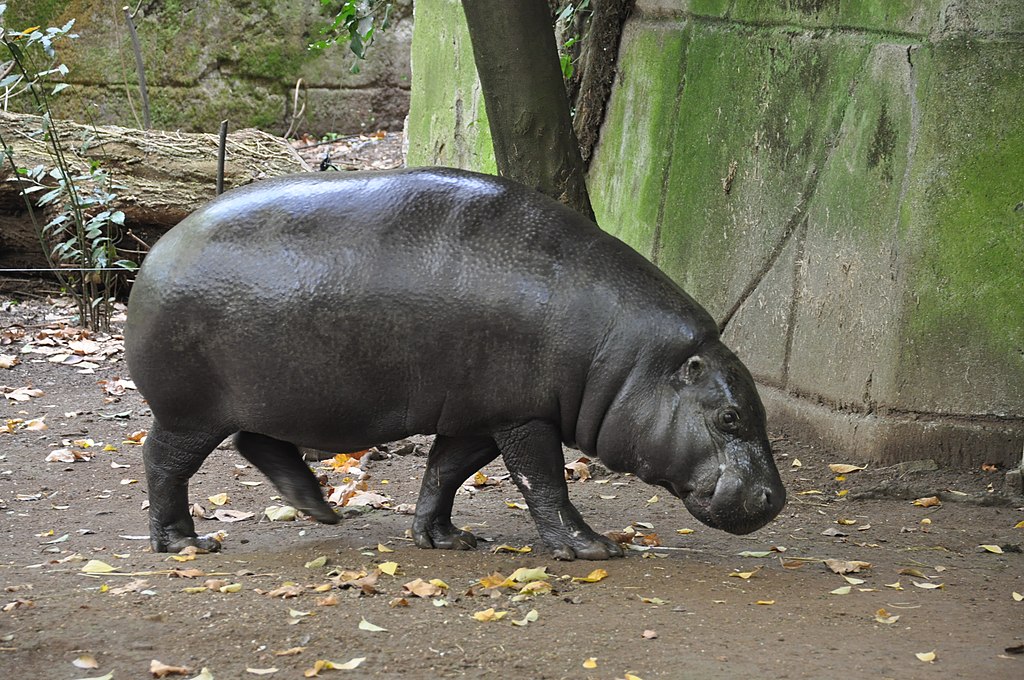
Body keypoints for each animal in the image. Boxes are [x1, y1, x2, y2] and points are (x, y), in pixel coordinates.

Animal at [125, 167, 786, 560]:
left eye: (757, 411)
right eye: (729, 418)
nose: (776, 499)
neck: (631, 360)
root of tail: (158, 248)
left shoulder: (479, 415)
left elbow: (445, 472)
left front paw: (447, 539)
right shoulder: (523, 415)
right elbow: (544, 480)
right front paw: (593, 549)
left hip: (274, 398)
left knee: (258, 442)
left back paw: (320, 511)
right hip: (189, 411)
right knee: (164, 463)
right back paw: (185, 544)